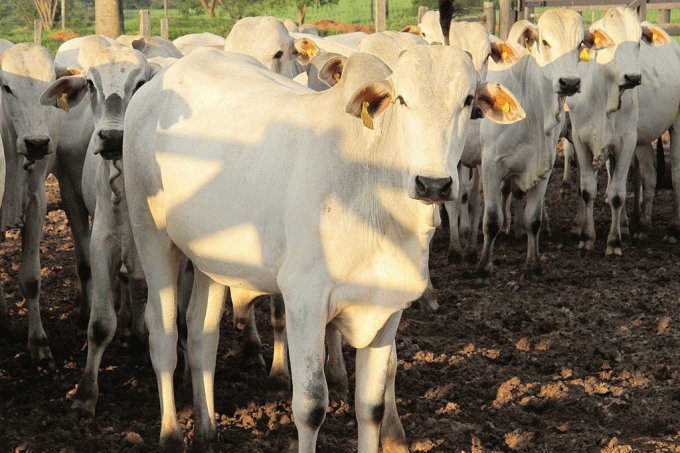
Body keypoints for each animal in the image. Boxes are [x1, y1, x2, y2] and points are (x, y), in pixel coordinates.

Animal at [122, 46, 524, 452]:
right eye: (401, 99)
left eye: (468, 101)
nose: (433, 184)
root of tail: (160, 80)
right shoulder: (305, 302)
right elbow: (311, 407)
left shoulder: (387, 308)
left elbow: (371, 406)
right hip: (150, 233)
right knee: (164, 335)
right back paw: (172, 434)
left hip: (211, 258)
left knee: (201, 335)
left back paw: (206, 432)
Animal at [478, 9, 584, 278]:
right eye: (545, 41)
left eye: (580, 44)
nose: (570, 82)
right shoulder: (491, 163)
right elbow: (491, 219)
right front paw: (484, 265)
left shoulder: (544, 165)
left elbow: (532, 219)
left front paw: (533, 264)